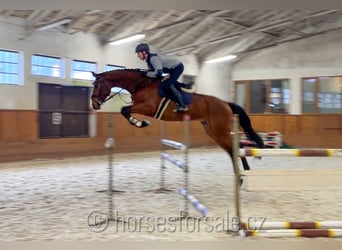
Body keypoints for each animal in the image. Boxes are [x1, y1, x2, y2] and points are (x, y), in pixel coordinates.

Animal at [90, 70, 262, 172]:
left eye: (97, 85)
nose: (94, 104)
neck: (141, 84)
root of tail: (226, 103)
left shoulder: (148, 107)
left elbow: (125, 110)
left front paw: (140, 123)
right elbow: (124, 110)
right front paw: (140, 123)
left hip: (221, 130)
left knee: (237, 147)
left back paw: (244, 172)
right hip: (213, 132)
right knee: (233, 149)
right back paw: (242, 174)